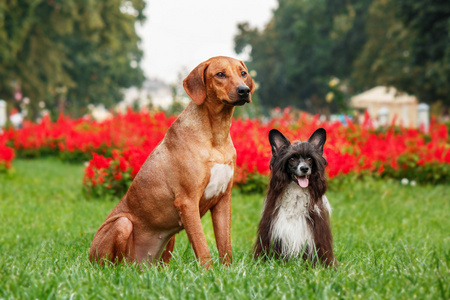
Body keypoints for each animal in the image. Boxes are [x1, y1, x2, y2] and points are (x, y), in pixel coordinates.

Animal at [89, 56, 255, 268]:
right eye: (220, 74)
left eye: (243, 73)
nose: (244, 90)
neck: (216, 136)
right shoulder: (187, 201)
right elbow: (202, 246)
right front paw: (209, 273)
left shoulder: (223, 200)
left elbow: (225, 246)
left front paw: (228, 272)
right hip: (122, 224)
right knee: (113, 263)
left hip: (169, 237)